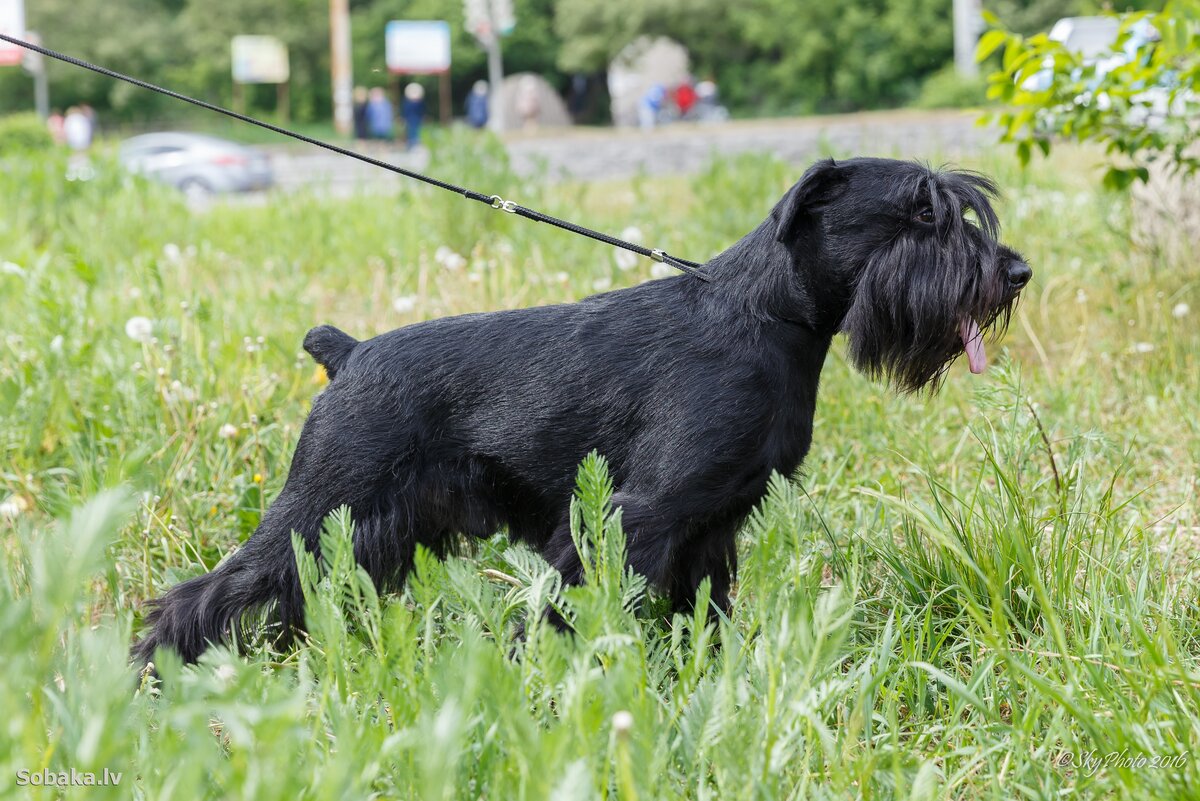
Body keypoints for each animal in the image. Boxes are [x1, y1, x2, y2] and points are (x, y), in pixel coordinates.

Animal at [131, 155, 1032, 661]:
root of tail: (346, 353)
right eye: (922, 213)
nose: (1014, 272)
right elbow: (574, 607)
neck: (769, 316)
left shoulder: (712, 529)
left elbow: (704, 616)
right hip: (321, 504)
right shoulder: (642, 514)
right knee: (209, 591)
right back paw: (156, 672)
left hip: (360, 529)